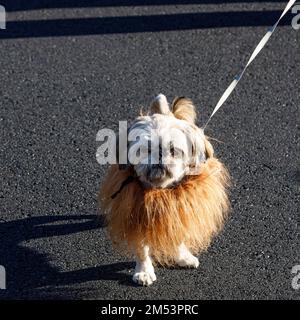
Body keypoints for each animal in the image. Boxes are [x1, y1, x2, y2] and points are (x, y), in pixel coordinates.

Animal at [100, 94, 230, 286]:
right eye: (145, 149)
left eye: (173, 150)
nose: (159, 155)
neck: (160, 188)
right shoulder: (138, 211)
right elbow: (142, 247)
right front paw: (144, 271)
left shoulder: (179, 205)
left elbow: (177, 231)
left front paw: (182, 257)